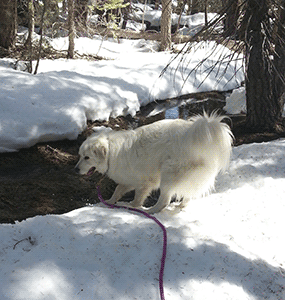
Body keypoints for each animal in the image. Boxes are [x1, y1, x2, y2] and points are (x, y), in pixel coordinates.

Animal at [74, 112, 232, 213]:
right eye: (80, 155)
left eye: (87, 157)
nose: (75, 170)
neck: (111, 152)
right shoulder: (129, 180)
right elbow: (118, 190)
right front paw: (110, 202)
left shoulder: (144, 182)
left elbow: (137, 198)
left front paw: (133, 207)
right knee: (188, 196)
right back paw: (180, 206)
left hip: (168, 174)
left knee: (164, 201)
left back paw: (150, 211)